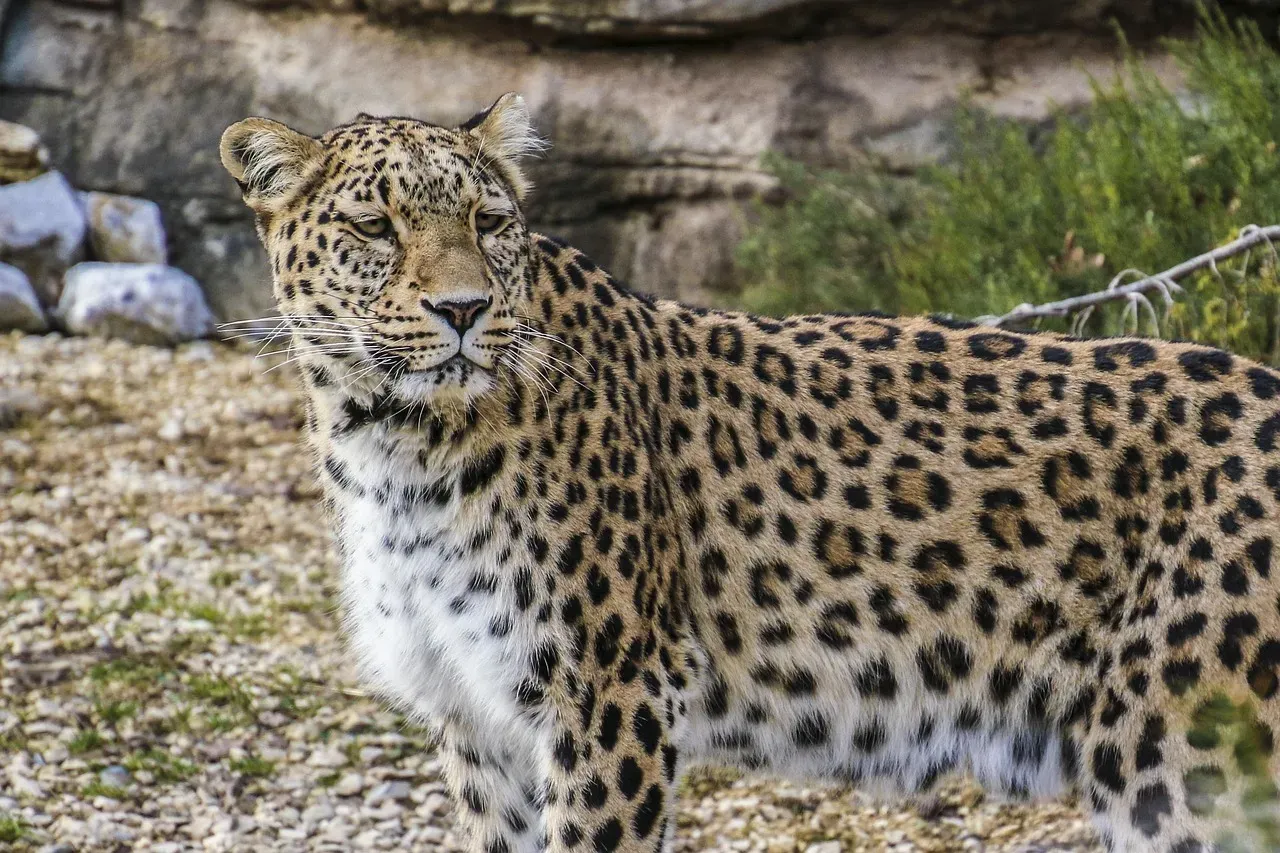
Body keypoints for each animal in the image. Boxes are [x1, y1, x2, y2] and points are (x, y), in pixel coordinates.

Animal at [220, 93, 1280, 853]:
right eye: (374, 227)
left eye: (488, 221)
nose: (464, 309)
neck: (390, 444)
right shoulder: (474, 715)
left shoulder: (608, 694)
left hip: (1188, 761)